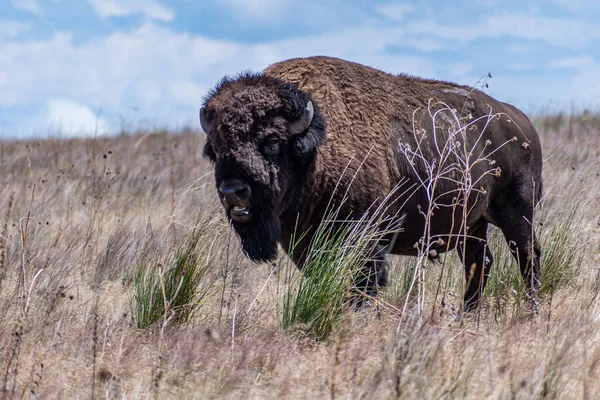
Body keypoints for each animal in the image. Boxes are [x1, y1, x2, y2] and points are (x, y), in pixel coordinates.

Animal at [202, 56, 544, 310]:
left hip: (517, 214)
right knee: (479, 263)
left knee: (528, 257)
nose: (233, 191)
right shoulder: (307, 245)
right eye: (217, 148)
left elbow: (363, 286)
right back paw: (466, 316)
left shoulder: (364, 240)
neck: (315, 149)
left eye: (272, 142)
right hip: (471, 226)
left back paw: (532, 310)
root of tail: (521, 123)